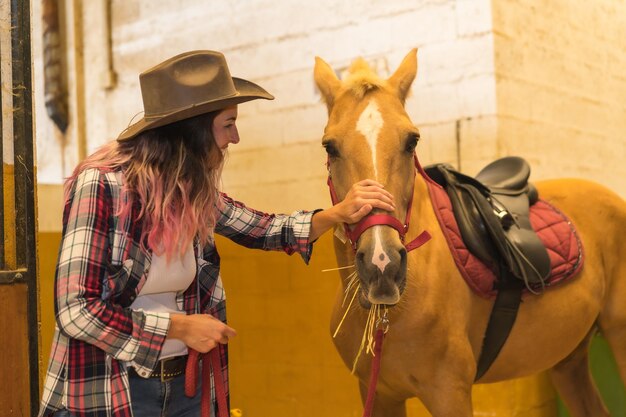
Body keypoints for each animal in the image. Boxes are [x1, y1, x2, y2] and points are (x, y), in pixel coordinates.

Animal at [312, 47, 624, 414]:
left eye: (411, 141)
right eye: (330, 146)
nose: (382, 263)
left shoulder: (450, 394)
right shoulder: (379, 395)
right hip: (567, 359)